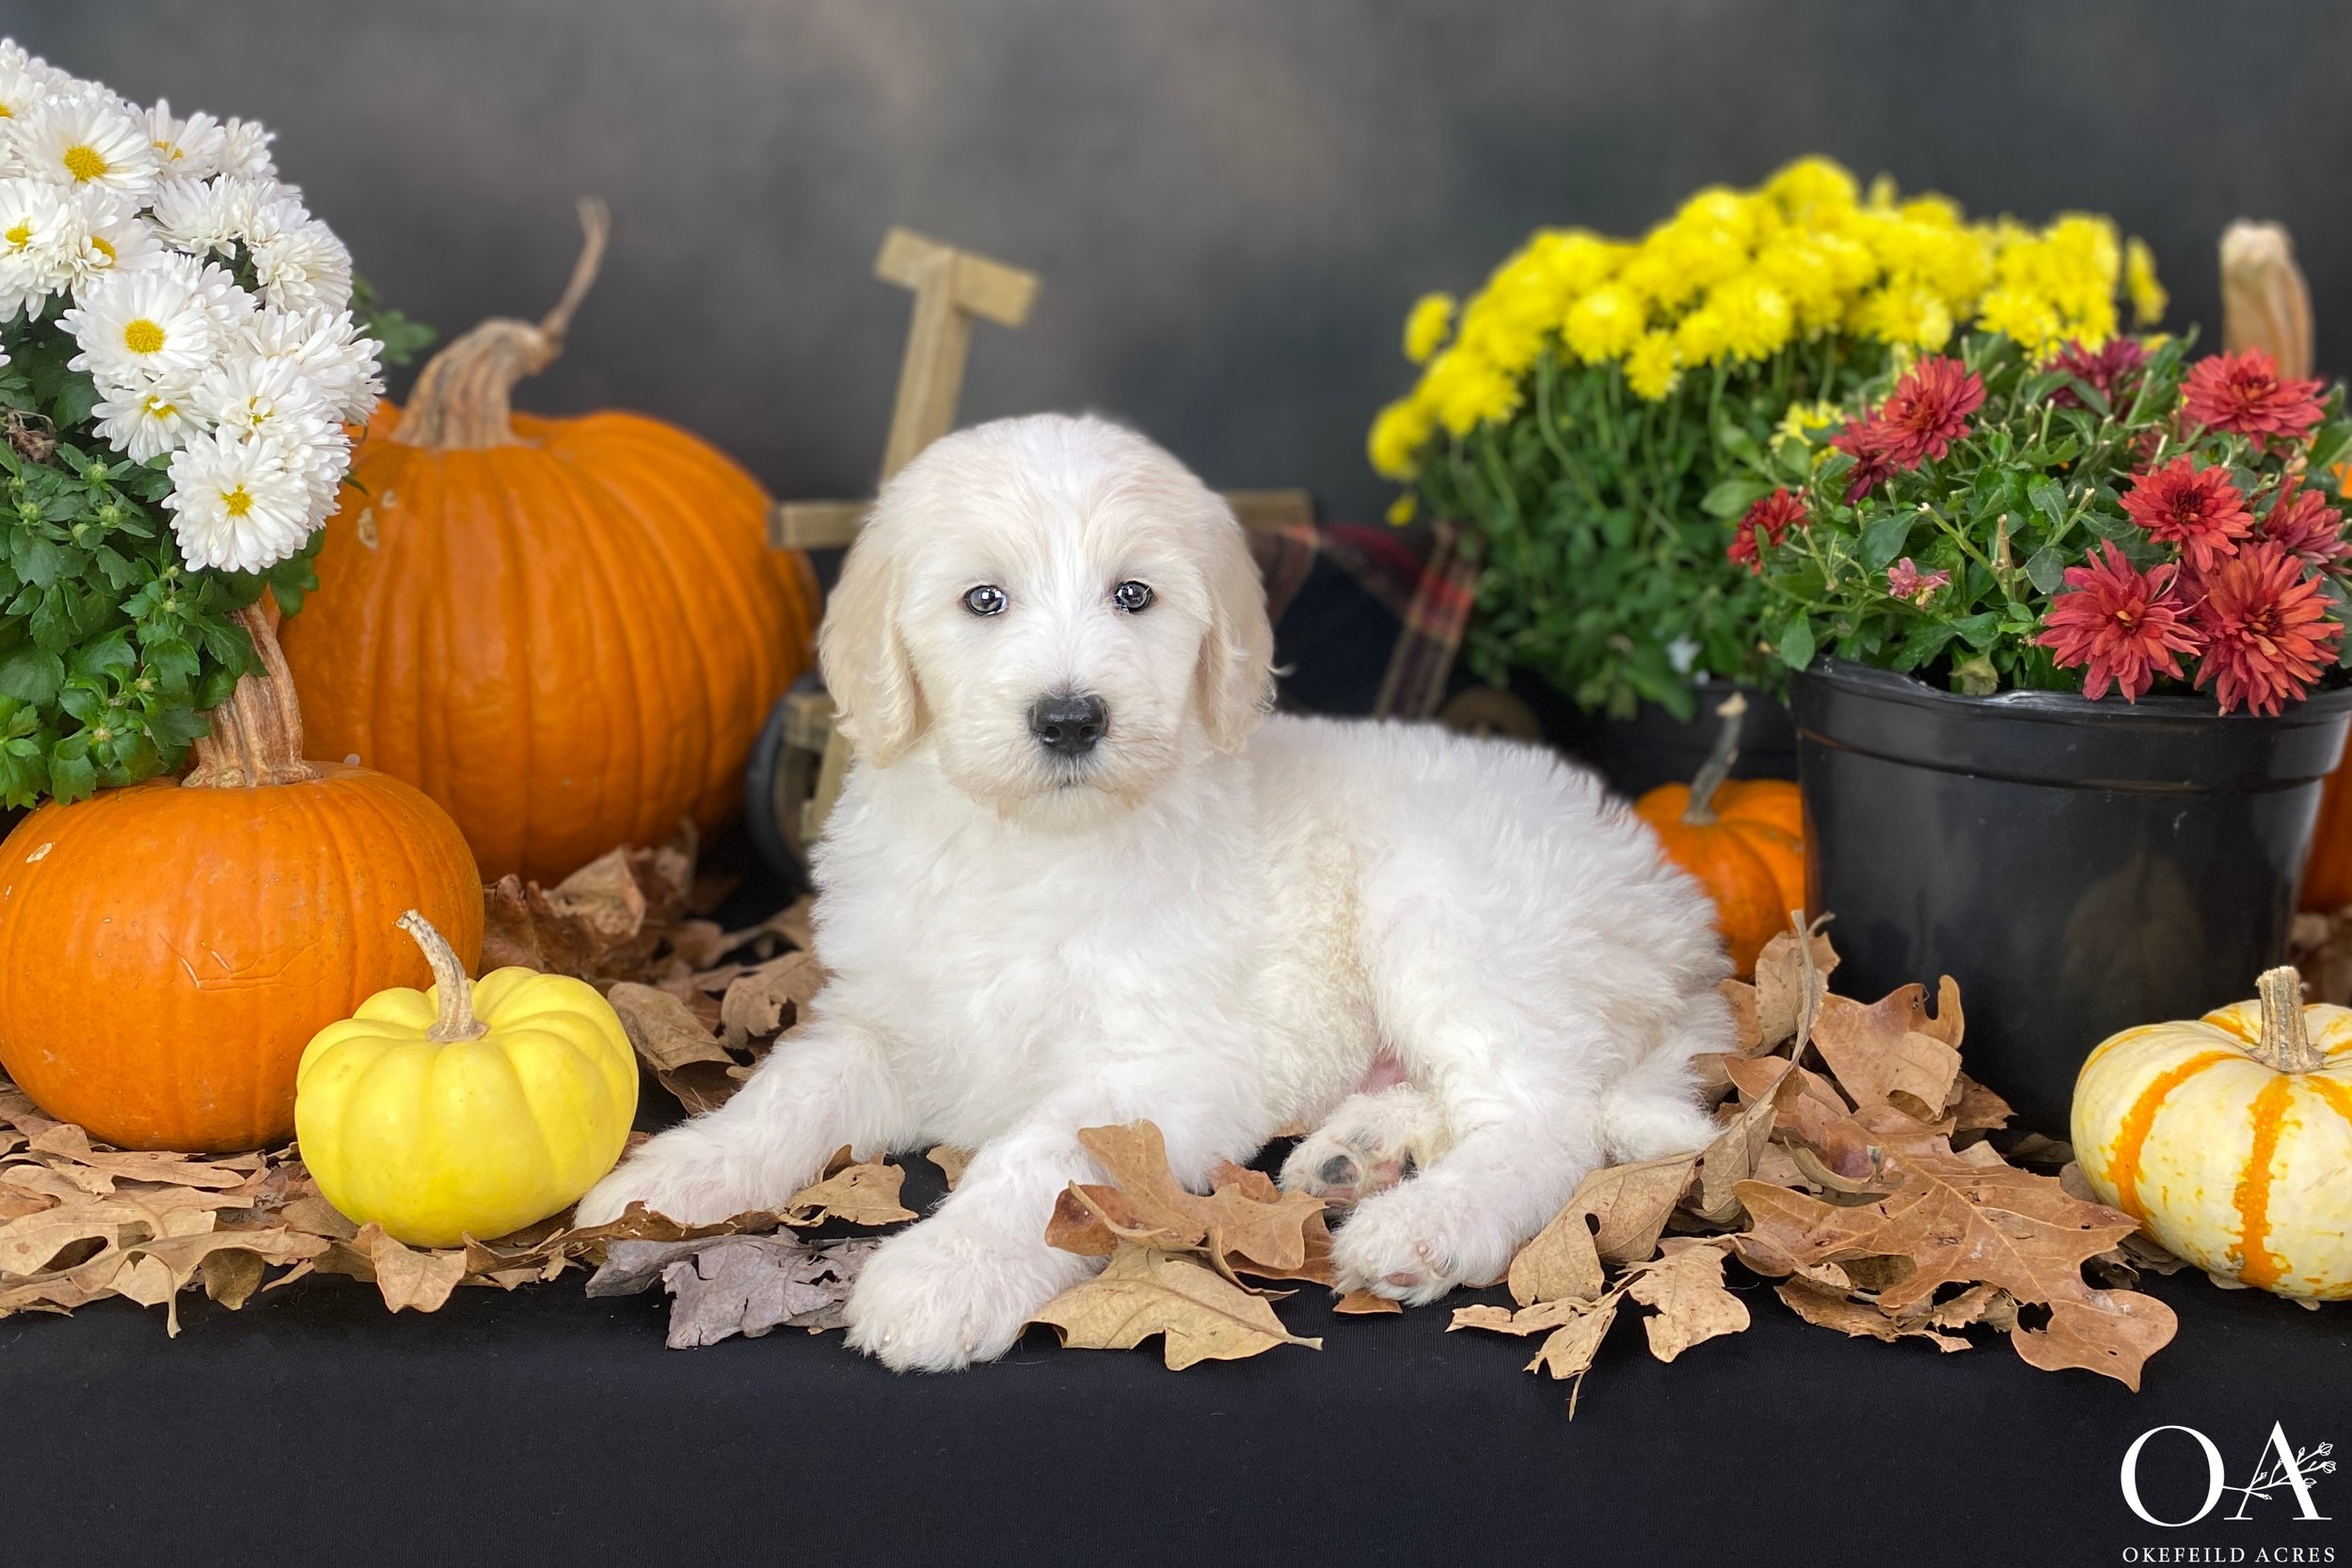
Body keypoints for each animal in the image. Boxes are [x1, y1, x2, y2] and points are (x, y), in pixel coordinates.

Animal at [579, 411, 1740, 1363]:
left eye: (1133, 595)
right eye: (983, 600)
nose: (1069, 717)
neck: (1035, 846)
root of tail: (1673, 910)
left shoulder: (1158, 1066)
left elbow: (1038, 1162)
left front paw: (944, 1275)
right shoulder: (890, 1021)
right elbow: (787, 1092)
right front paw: (672, 1180)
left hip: (1454, 913)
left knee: (1547, 1120)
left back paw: (1423, 1225)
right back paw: (1358, 1154)